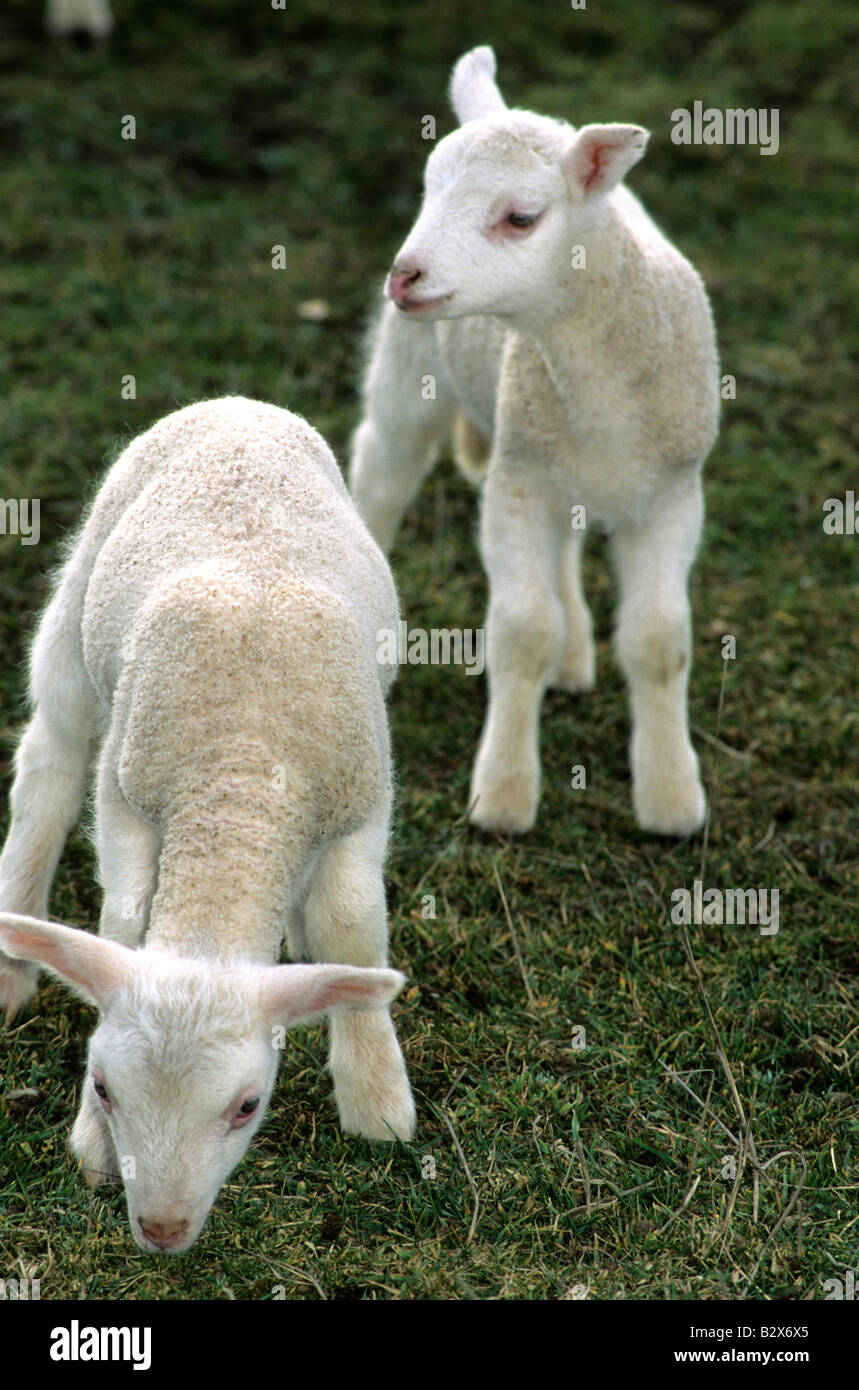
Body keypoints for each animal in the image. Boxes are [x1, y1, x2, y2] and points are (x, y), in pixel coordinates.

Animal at [0, 397, 414, 1256]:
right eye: (102, 1086)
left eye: (247, 1106)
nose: (160, 1229)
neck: (240, 788)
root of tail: (236, 405)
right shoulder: (128, 799)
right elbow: (126, 922)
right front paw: (93, 1146)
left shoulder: (362, 804)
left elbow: (353, 925)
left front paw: (376, 1099)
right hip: (80, 603)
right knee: (49, 764)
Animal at [347, 46, 717, 834]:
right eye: (426, 190)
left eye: (520, 218)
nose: (404, 276)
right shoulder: (516, 483)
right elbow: (522, 631)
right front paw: (504, 794)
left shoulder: (673, 494)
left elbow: (658, 640)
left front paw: (670, 797)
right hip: (413, 375)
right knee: (383, 472)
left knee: (567, 551)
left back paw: (576, 652)